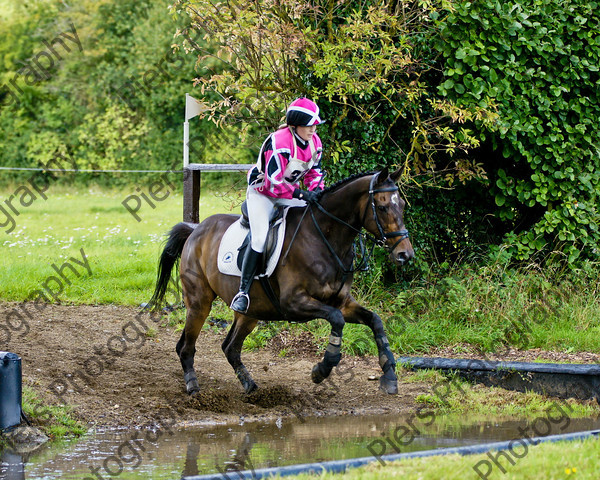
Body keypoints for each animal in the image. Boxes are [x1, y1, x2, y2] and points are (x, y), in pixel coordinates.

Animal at [149, 169, 412, 398]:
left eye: (402, 205)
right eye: (382, 207)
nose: (405, 255)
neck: (326, 239)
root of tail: (195, 229)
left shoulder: (342, 302)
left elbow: (375, 321)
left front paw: (389, 377)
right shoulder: (294, 303)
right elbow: (336, 319)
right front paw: (322, 369)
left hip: (251, 311)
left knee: (230, 347)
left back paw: (250, 385)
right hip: (199, 303)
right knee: (187, 346)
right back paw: (193, 386)